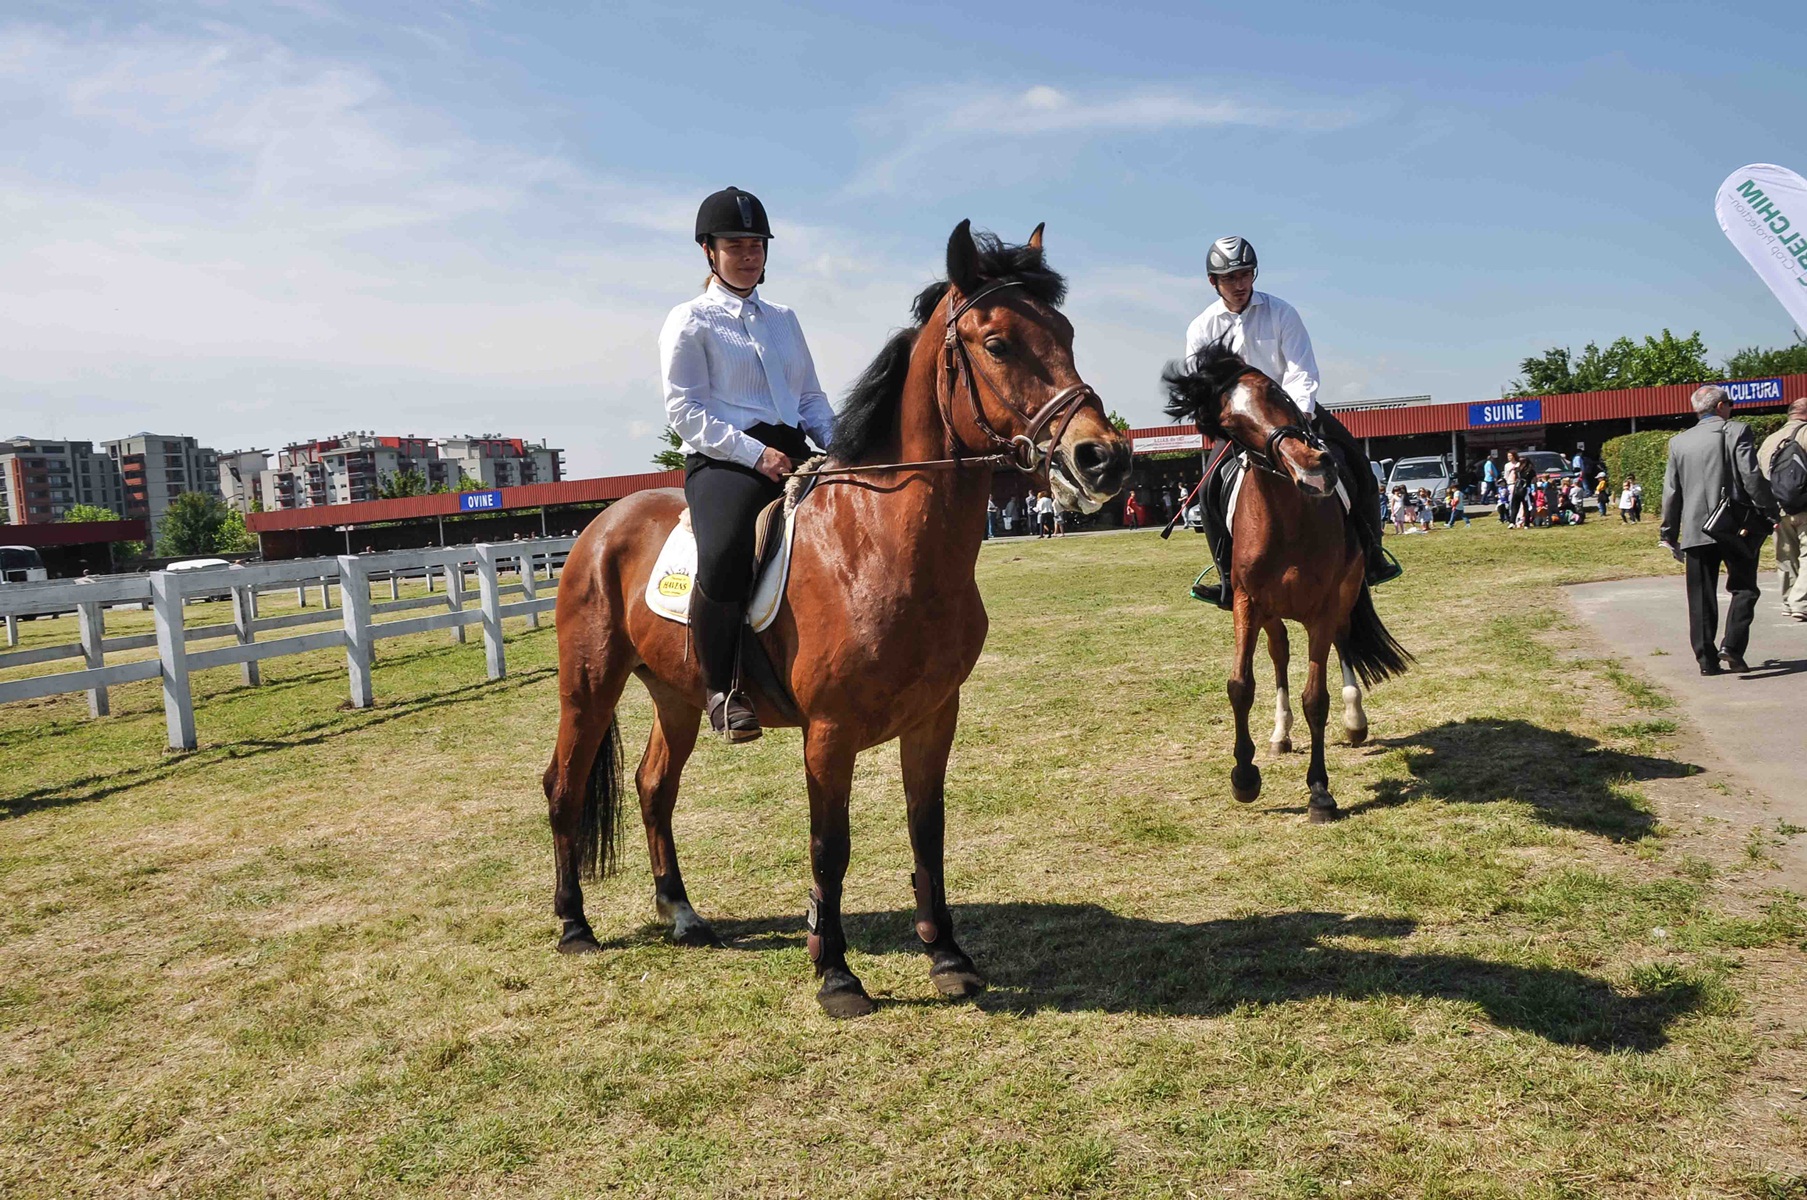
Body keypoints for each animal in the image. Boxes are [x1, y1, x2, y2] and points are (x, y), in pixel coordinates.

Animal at [1170, 341, 1409, 820]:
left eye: (1276, 392)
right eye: (1231, 426)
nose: (1314, 469)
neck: (1289, 521)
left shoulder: (1326, 604)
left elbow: (1316, 697)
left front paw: (1319, 791)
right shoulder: (1246, 602)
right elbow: (1241, 686)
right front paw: (1244, 777)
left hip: (1344, 596)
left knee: (1342, 641)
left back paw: (1355, 721)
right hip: (1270, 612)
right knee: (1279, 653)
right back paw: (1280, 735)